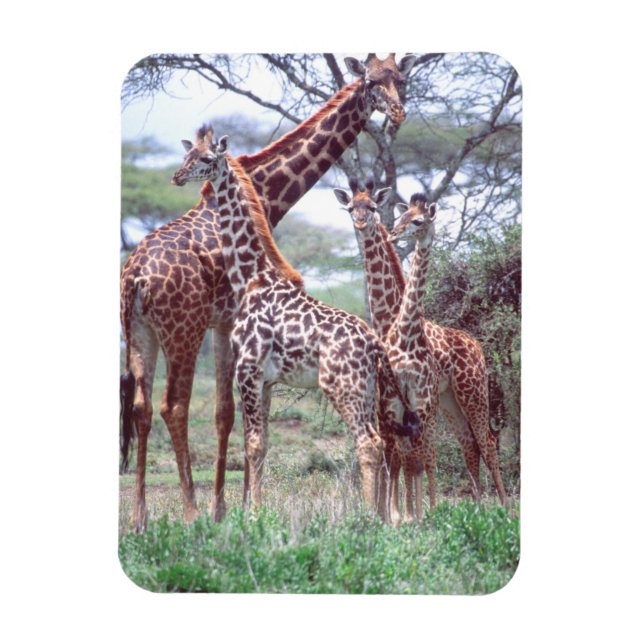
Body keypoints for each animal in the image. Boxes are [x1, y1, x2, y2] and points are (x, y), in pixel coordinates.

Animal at [169, 128, 419, 512]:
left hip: (342, 386)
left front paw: (254, 513)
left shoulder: (248, 369)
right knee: (382, 442)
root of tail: (374, 343)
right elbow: (261, 446)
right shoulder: (267, 380)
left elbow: (252, 444)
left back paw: (366, 517)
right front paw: (253, 509)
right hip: (368, 389)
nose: (178, 176)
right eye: (188, 155)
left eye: (207, 158)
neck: (251, 277)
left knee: (368, 443)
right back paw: (379, 515)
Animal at [333, 181, 507, 516]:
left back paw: (505, 510)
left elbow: (415, 457)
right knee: (469, 445)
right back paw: (478, 508)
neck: (390, 320)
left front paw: (407, 514)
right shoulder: (387, 401)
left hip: (472, 392)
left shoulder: (417, 402)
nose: (363, 224)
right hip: (450, 400)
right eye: (350, 208)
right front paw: (390, 514)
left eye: (371, 207)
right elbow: (395, 457)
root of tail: (476, 345)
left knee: (486, 442)